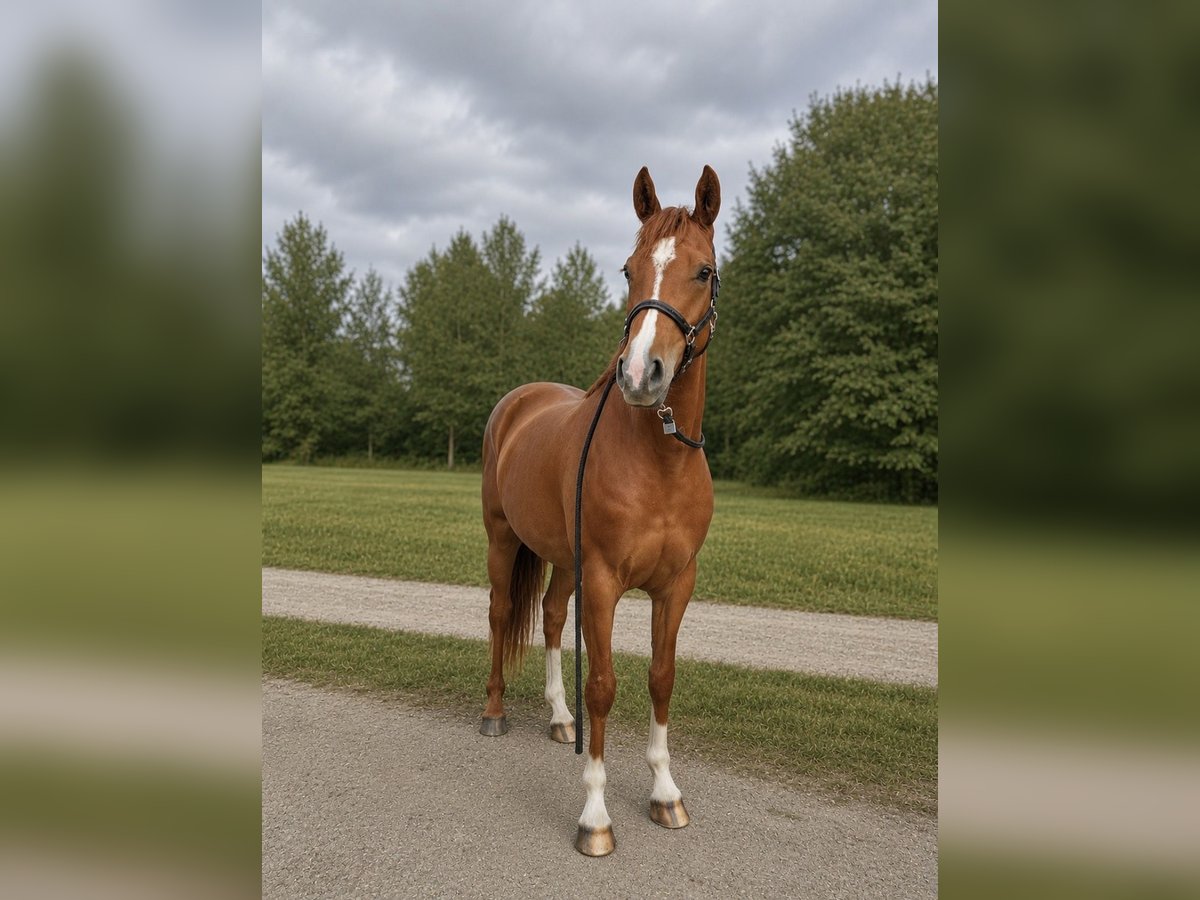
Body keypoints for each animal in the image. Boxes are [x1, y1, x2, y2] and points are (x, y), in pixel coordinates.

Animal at [479, 165, 721, 856]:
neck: (658, 462)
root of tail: (517, 403)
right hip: (502, 539)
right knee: (501, 614)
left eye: (703, 271)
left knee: (552, 617)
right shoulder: (606, 581)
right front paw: (595, 817)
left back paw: (561, 720)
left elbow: (661, 677)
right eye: (628, 269)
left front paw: (666, 795)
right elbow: (605, 687)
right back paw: (495, 713)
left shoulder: (677, 583)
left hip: (563, 560)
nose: (641, 375)